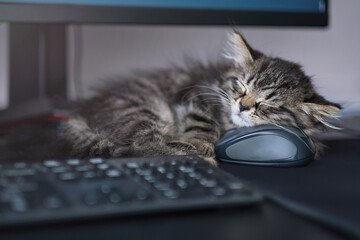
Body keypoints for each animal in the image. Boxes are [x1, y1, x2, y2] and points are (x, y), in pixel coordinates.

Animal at [63, 31, 342, 164]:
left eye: (266, 104)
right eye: (242, 88)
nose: (242, 106)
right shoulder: (196, 94)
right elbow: (202, 122)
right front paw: (202, 143)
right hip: (143, 108)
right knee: (141, 146)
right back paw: (199, 156)